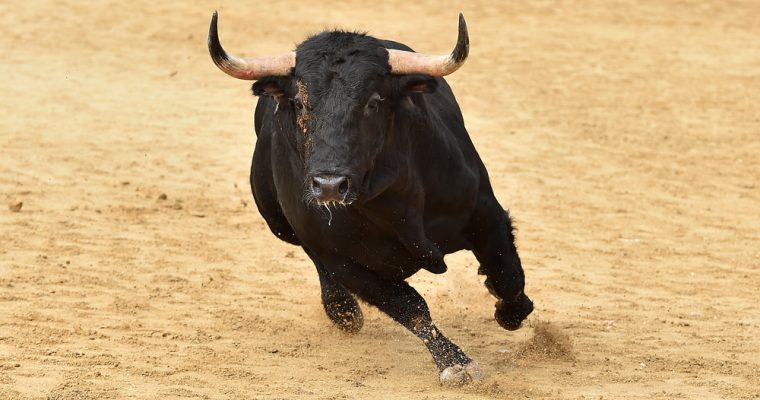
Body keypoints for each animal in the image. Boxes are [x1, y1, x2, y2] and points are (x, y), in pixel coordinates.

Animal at [208, 11, 533, 385]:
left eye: (374, 102)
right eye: (301, 103)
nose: (329, 185)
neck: (396, 202)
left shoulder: (485, 212)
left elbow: (507, 272)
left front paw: (511, 310)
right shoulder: (344, 262)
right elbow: (410, 307)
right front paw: (455, 363)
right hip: (282, 225)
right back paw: (342, 311)